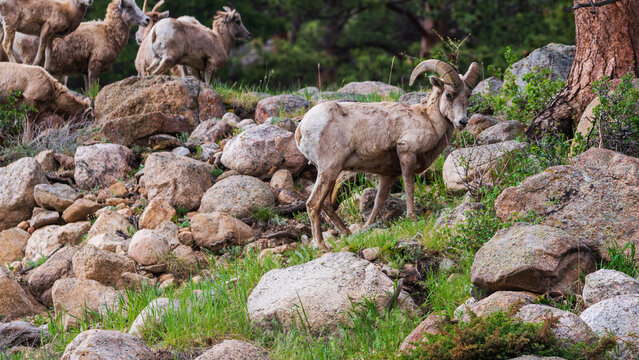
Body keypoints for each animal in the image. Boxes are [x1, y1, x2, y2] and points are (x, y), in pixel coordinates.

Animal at [296, 59, 480, 250]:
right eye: (449, 95)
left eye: (467, 96)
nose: (462, 122)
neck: (428, 120)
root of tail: (301, 128)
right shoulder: (406, 154)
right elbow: (409, 187)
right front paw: (412, 218)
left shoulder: (388, 174)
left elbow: (379, 200)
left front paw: (367, 227)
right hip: (329, 168)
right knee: (313, 204)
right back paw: (321, 245)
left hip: (330, 172)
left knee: (325, 203)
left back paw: (347, 233)